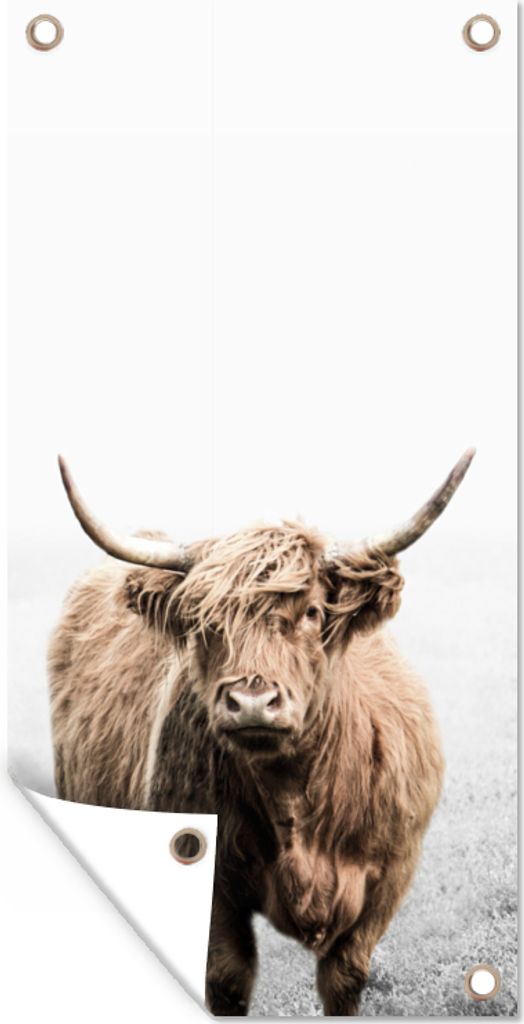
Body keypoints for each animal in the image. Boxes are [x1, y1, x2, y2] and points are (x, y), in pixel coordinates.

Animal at [48, 449, 474, 1016]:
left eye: (312, 612)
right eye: (204, 622)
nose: (252, 701)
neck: (295, 794)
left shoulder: (391, 874)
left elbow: (345, 977)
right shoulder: (211, 884)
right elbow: (227, 978)